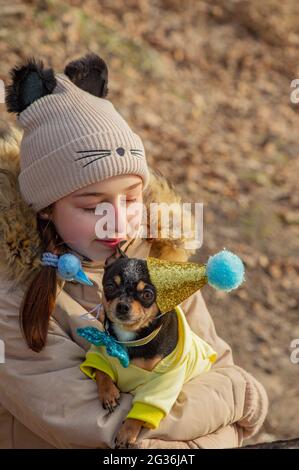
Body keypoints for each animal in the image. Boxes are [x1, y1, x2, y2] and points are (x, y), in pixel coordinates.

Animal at [97, 246, 179, 448]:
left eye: (148, 295)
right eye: (110, 287)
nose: (122, 306)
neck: (129, 336)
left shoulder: (158, 383)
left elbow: (143, 408)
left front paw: (127, 433)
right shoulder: (101, 350)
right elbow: (101, 371)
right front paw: (108, 393)